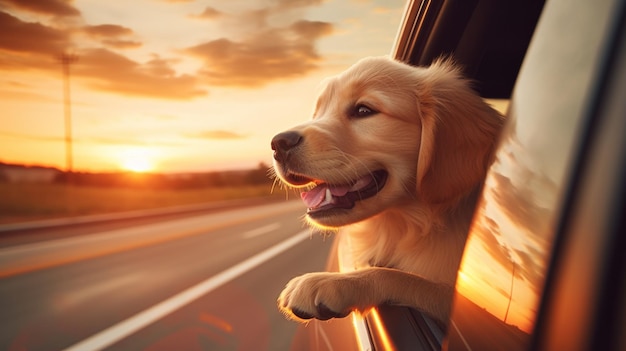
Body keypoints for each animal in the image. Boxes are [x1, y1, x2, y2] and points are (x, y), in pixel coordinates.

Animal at [270, 55, 502, 328]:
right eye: (318, 113)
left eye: (364, 111)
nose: (278, 143)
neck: (417, 222)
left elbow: (407, 279)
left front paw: (329, 281)